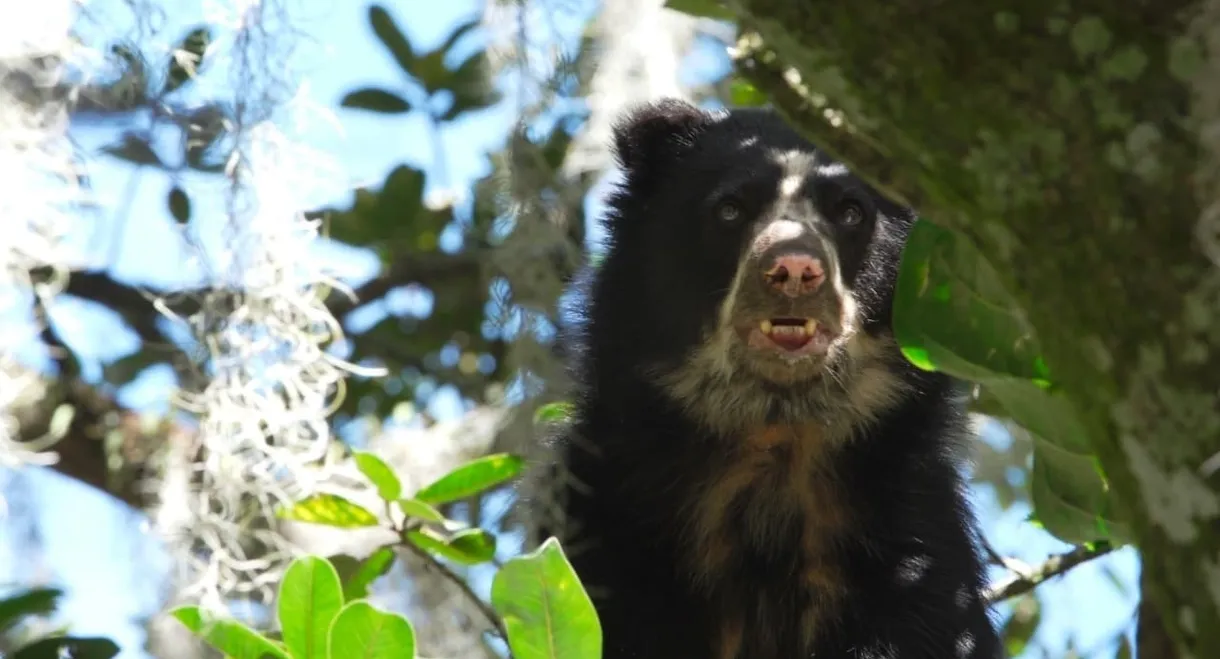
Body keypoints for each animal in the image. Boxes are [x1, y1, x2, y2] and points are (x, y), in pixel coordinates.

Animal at [549, 98, 1005, 659]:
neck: (776, 434)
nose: (793, 270)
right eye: (730, 209)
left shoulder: (911, 549)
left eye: (851, 211)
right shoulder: (608, 527)